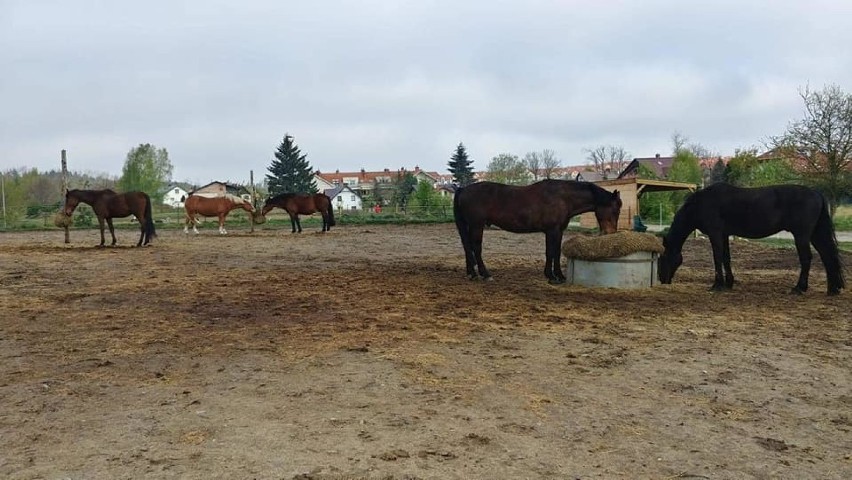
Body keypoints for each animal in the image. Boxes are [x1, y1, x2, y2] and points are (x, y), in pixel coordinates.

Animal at [452, 181, 620, 284]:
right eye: (615, 210)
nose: (611, 233)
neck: (563, 197)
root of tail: (463, 189)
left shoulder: (557, 231)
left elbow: (556, 252)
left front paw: (559, 275)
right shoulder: (552, 230)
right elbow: (551, 252)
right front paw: (551, 276)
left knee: (467, 247)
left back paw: (472, 273)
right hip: (477, 225)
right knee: (475, 248)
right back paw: (485, 274)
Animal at [660, 184, 844, 296]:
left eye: (663, 257)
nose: (663, 280)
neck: (701, 204)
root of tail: (816, 193)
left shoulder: (715, 233)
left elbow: (717, 258)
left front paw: (717, 285)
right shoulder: (724, 234)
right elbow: (726, 258)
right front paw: (729, 283)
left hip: (802, 236)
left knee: (807, 259)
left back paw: (799, 288)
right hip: (815, 235)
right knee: (827, 256)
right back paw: (832, 289)